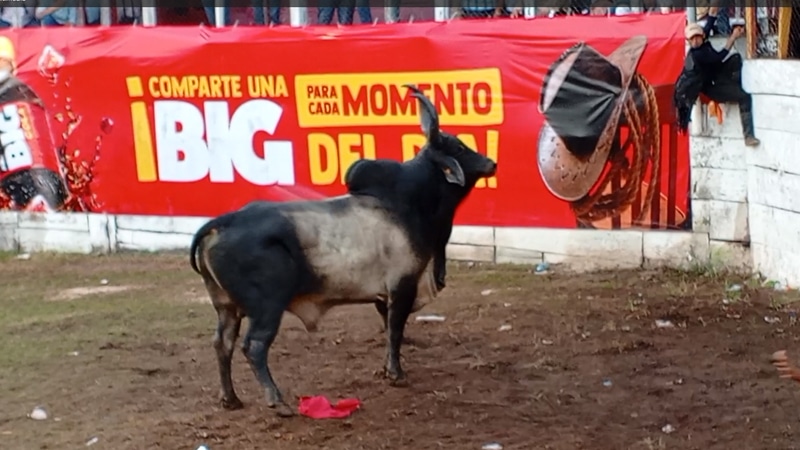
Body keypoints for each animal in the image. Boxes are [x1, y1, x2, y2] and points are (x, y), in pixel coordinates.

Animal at [190, 85, 496, 418]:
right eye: (460, 148)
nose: (490, 163)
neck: (410, 203)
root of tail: (221, 223)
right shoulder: (402, 286)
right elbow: (396, 330)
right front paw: (397, 374)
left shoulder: (383, 295)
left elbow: (389, 329)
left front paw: (386, 370)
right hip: (266, 307)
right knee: (254, 346)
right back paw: (277, 401)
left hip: (226, 307)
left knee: (223, 344)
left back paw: (230, 398)